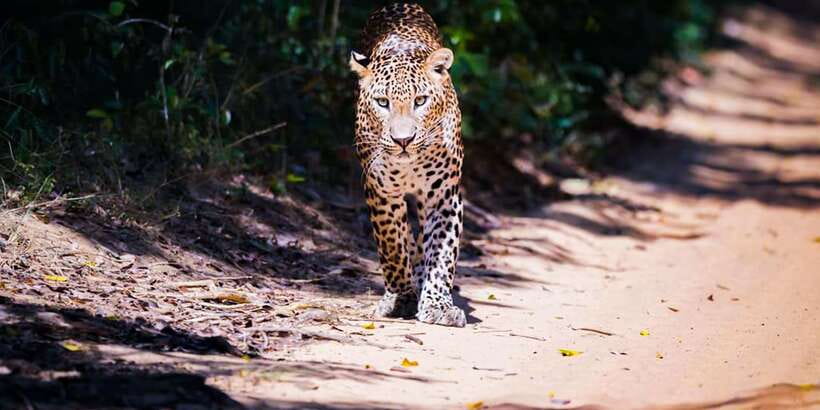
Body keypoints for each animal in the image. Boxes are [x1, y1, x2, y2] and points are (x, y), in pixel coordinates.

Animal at [349, 3, 466, 327]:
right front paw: (401, 298)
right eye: (382, 102)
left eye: (421, 100)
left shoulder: (443, 195)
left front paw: (437, 304)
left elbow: (441, 252)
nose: (403, 140)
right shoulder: (381, 192)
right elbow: (392, 244)